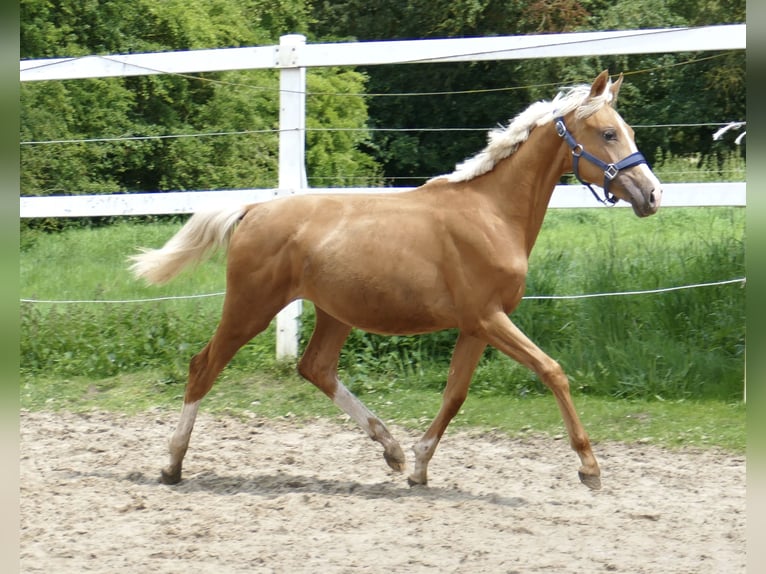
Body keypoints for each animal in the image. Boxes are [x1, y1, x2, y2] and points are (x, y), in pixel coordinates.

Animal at [130, 71, 660, 490]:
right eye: (608, 133)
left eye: (628, 130)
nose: (652, 195)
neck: (491, 213)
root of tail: (254, 208)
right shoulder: (488, 318)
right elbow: (552, 370)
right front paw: (590, 468)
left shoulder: (476, 326)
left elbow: (455, 393)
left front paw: (420, 467)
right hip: (251, 307)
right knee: (203, 366)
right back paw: (172, 465)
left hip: (334, 312)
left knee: (315, 368)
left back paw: (392, 450)